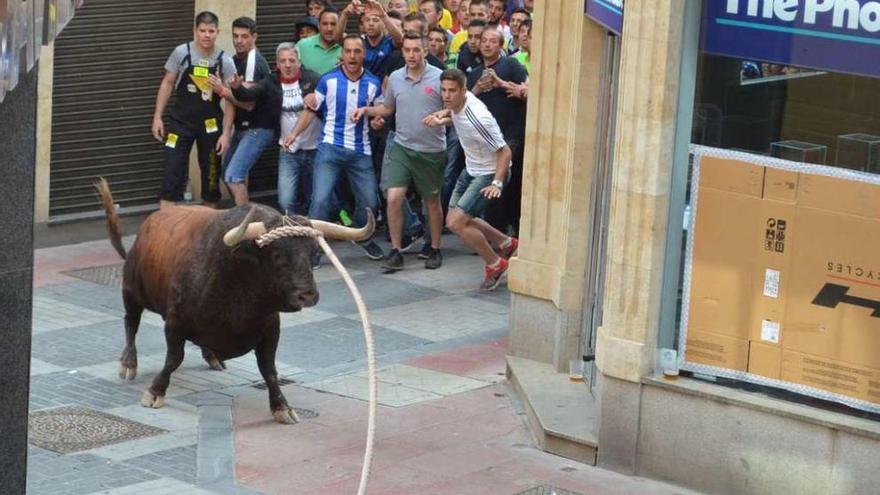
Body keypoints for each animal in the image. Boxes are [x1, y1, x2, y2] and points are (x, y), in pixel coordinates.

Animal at [98, 180, 372, 424]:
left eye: (314, 253)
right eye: (276, 255)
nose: (308, 295)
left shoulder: (270, 328)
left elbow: (269, 369)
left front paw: (281, 406)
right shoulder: (175, 322)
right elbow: (173, 359)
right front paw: (155, 392)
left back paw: (212, 356)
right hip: (131, 291)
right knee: (131, 323)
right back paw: (128, 362)